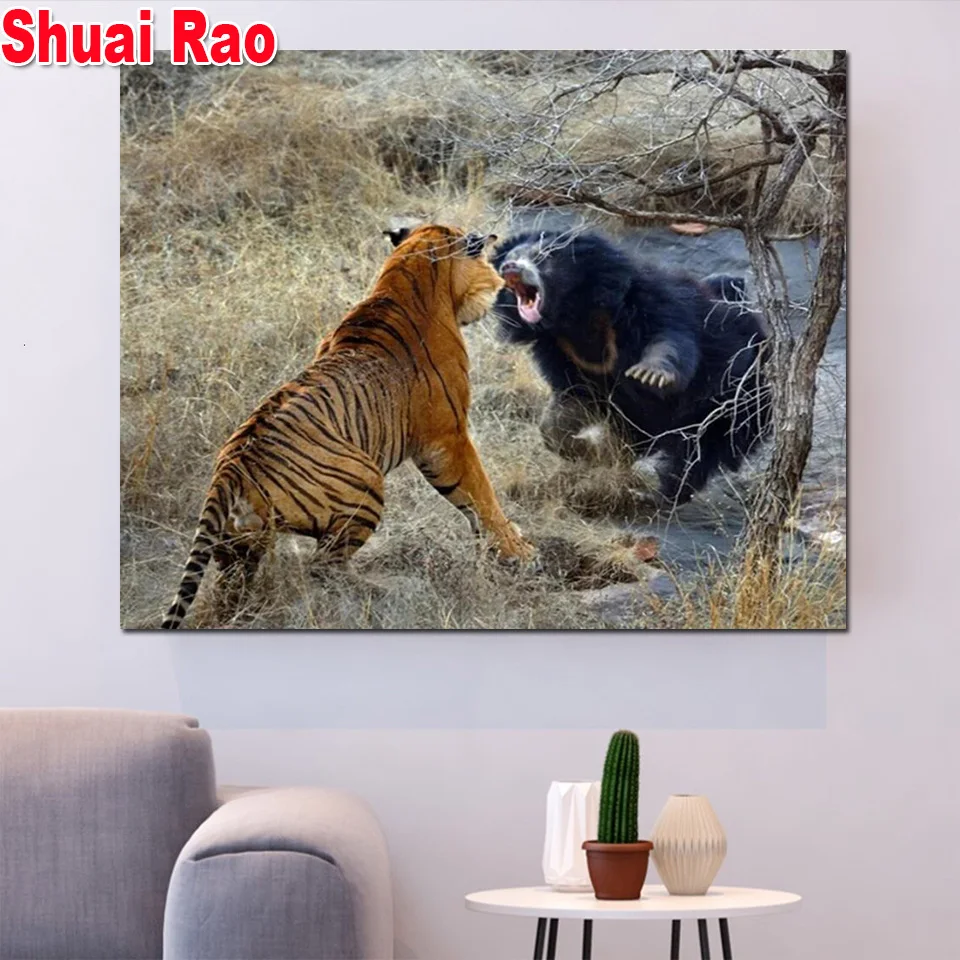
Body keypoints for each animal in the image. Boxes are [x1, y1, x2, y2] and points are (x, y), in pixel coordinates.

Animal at [159, 223, 535, 630]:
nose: (500, 280)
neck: (404, 277)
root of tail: (229, 469)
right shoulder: (448, 438)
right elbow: (481, 494)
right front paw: (517, 550)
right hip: (366, 483)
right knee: (324, 566)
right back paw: (386, 589)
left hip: (239, 544)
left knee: (234, 585)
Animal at [491, 228, 771, 506]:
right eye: (511, 257)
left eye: (543, 257)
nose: (509, 267)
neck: (575, 316)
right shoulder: (561, 352)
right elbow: (572, 402)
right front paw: (587, 451)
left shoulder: (651, 302)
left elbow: (670, 340)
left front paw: (650, 374)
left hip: (735, 402)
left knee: (699, 453)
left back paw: (657, 493)